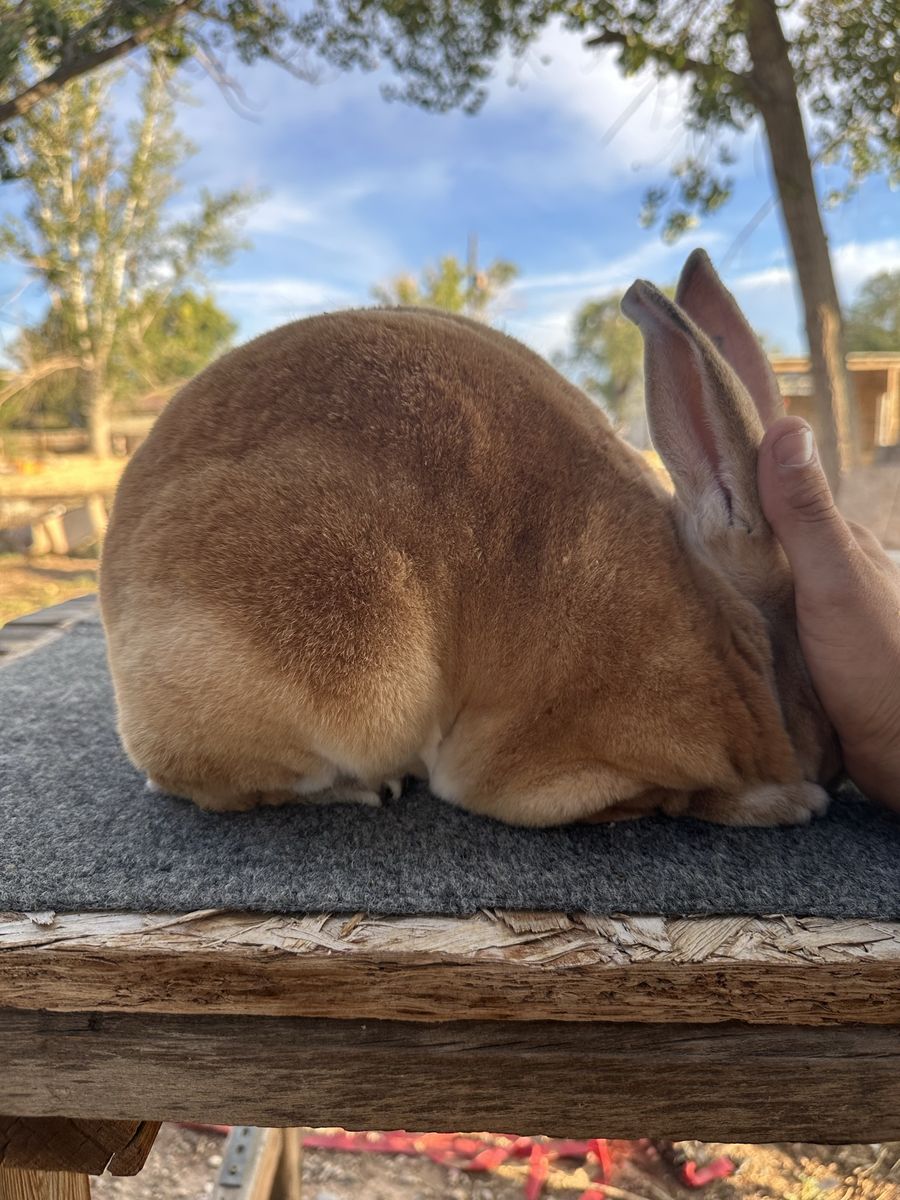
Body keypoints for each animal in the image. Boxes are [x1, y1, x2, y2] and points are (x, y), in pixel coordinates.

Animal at [100, 249, 840, 826]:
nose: (831, 759)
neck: (722, 636)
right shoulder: (556, 768)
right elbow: (665, 799)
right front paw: (784, 803)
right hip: (348, 663)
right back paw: (367, 789)